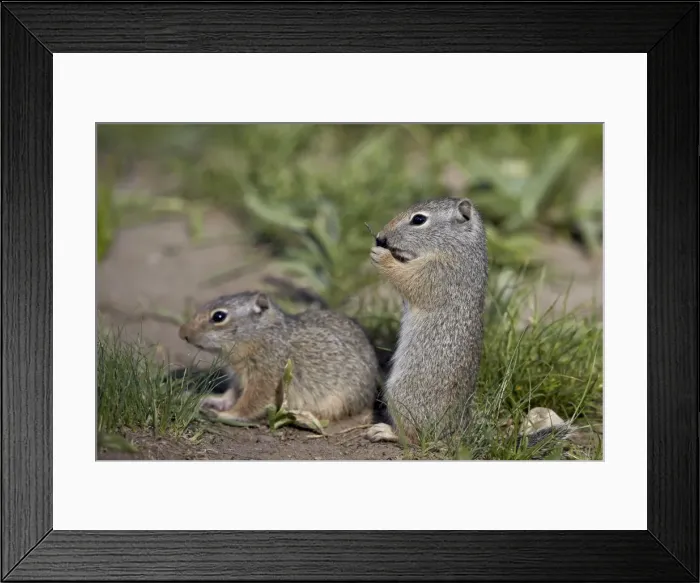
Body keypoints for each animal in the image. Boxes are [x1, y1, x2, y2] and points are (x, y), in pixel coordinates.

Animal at [177, 291, 379, 425]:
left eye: (219, 316)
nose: (182, 333)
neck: (260, 335)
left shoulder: (265, 377)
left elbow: (250, 403)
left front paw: (224, 415)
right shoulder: (238, 377)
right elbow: (230, 395)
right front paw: (206, 399)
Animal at [365, 196, 489, 445]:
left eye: (419, 219)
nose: (380, 237)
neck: (457, 249)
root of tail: (454, 428)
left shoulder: (438, 274)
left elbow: (408, 279)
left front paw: (382, 256)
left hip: (403, 393)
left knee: (413, 436)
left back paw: (385, 431)